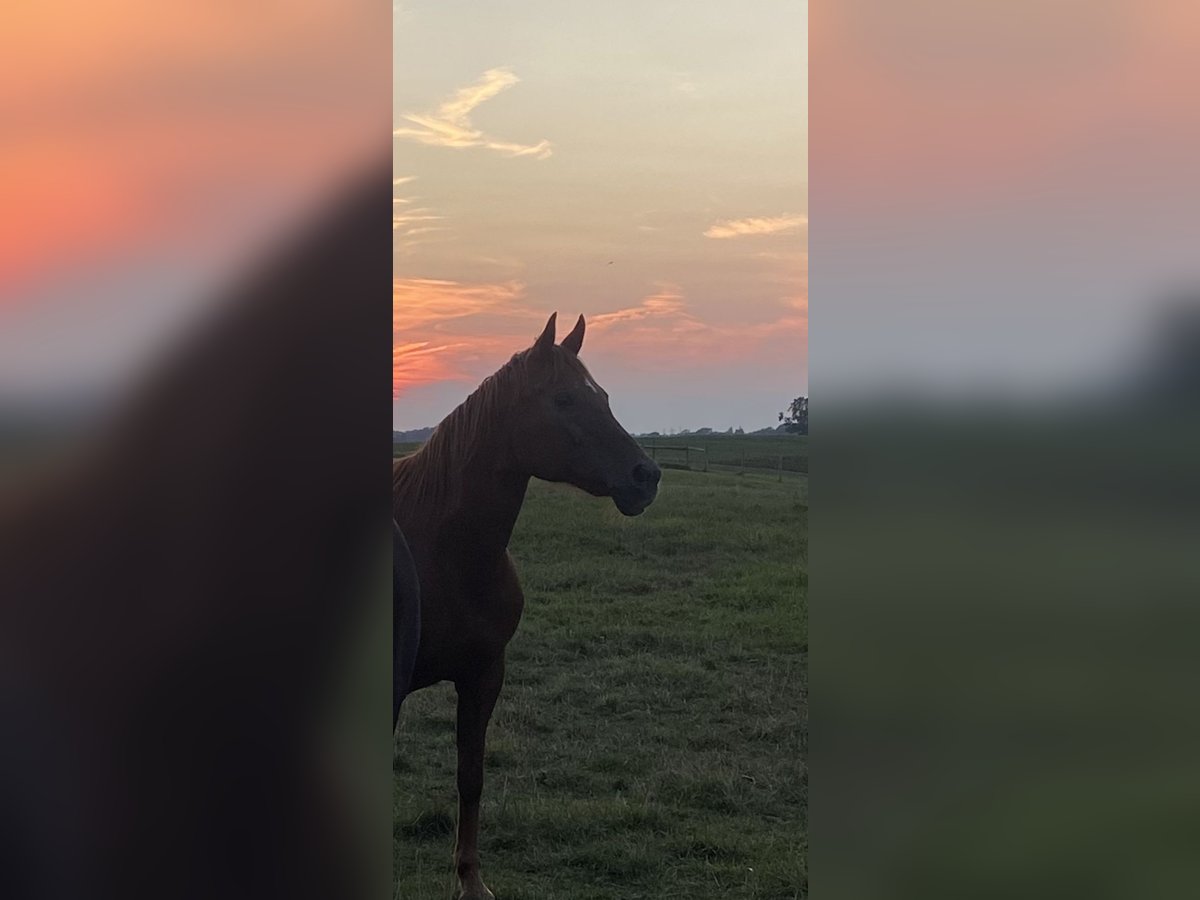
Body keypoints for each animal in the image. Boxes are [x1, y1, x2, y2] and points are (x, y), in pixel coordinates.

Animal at [393, 312, 662, 900]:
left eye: (603, 396)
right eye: (563, 398)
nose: (646, 477)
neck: (444, 551)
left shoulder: (484, 674)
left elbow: (471, 775)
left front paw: (471, 880)